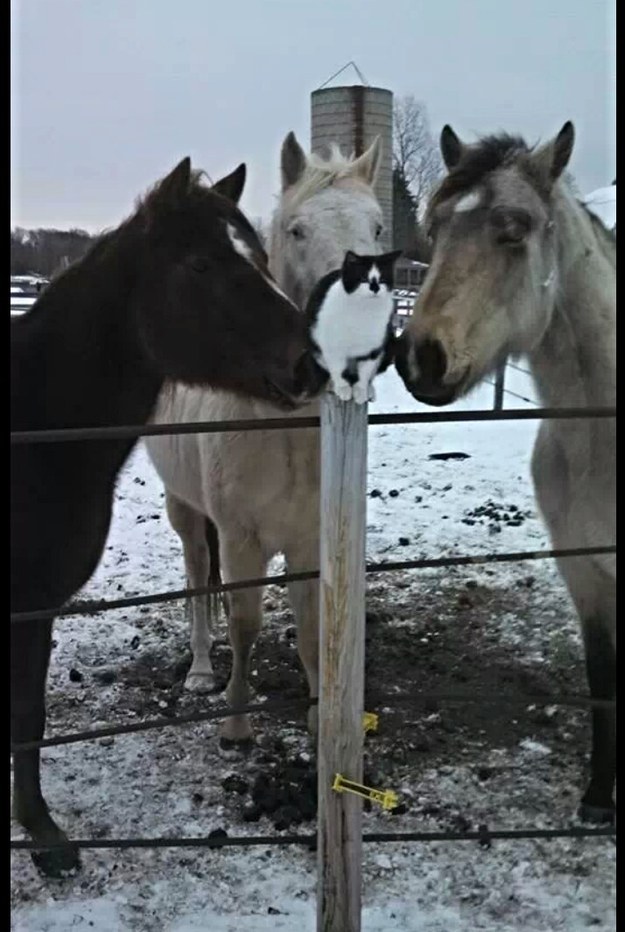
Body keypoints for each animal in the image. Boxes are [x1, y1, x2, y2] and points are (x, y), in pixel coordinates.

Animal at [146, 133, 382, 744]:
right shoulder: (240, 538)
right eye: (297, 230)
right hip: (185, 509)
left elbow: (312, 628)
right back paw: (201, 670)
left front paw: (321, 718)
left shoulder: (307, 541)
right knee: (197, 578)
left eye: (376, 227)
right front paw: (234, 722)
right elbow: (245, 624)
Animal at [306, 248, 402, 404]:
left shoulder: (372, 349)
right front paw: (342, 388)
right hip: (314, 346)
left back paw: (369, 390)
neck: (363, 309)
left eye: (382, 279)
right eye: (363, 278)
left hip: (388, 346)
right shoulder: (333, 347)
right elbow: (337, 370)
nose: (375, 288)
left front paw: (361, 391)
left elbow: (365, 373)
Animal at [394, 122, 616, 824]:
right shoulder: (584, 572)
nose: (420, 357)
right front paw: (598, 799)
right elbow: (602, 678)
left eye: (514, 230)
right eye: (435, 227)